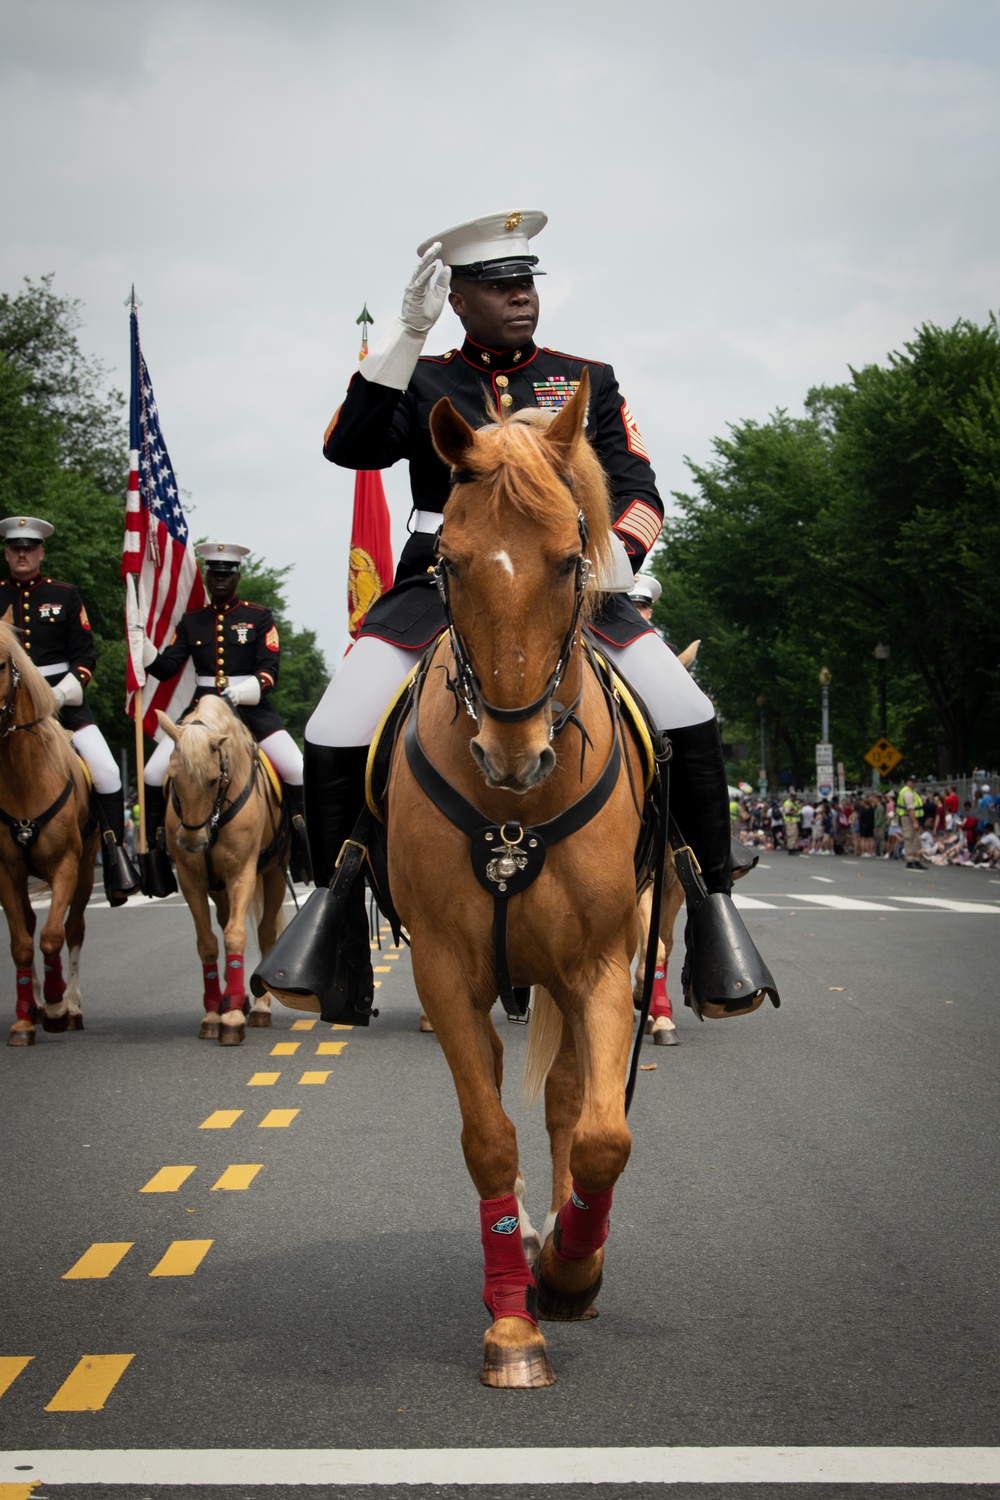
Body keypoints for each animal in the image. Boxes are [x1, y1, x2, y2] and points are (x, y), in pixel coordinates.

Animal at [383, 372, 650, 1380]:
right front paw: (512, 1322)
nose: (513, 753)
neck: (516, 817)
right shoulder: (444, 972)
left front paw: (572, 1270)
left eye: (572, 561)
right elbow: (489, 1137)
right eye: (449, 563)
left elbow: (605, 1133)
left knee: (574, 1104)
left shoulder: (601, 966)